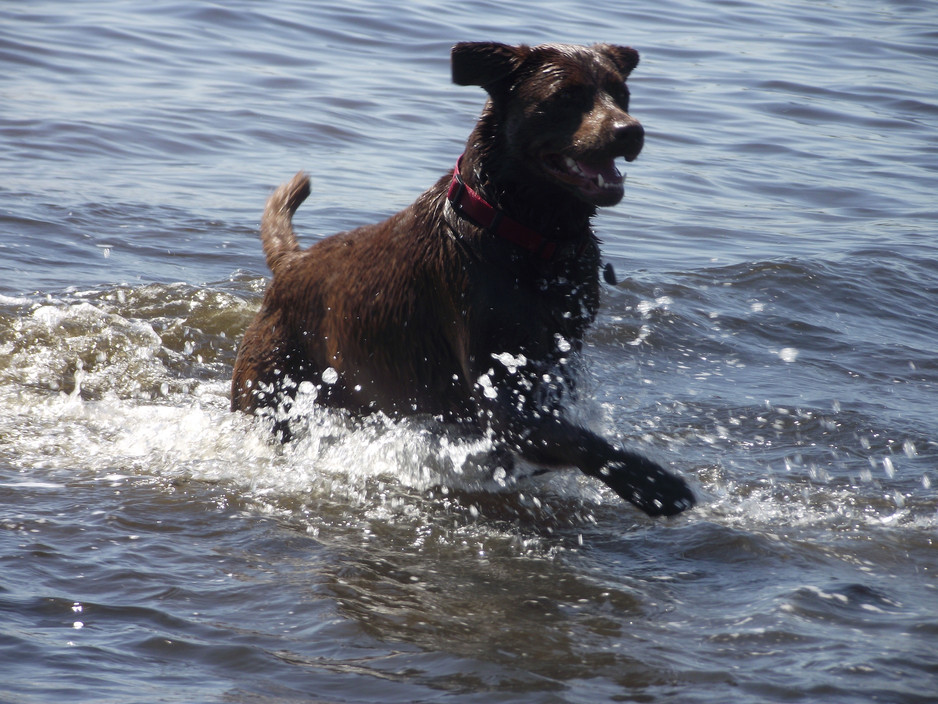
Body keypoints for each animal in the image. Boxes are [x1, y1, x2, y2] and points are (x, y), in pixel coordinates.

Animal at [230, 42, 692, 516]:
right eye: (566, 96)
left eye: (622, 94)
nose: (629, 131)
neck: (524, 234)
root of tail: (291, 263)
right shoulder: (502, 392)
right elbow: (574, 439)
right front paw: (653, 484)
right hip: (270, 389)